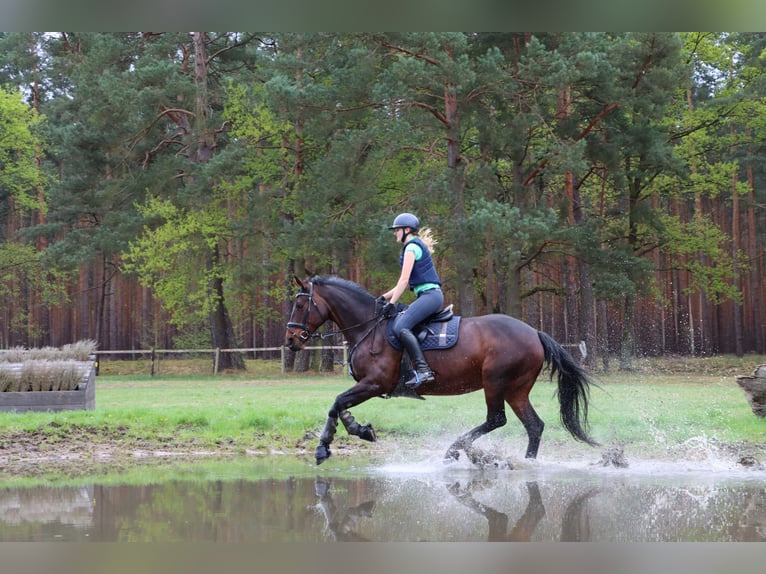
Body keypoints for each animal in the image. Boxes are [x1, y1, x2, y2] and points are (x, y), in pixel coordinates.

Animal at [284, 275, 598, 465]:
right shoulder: (368, 386)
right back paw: (526, 463)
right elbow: (339, 405)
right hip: (516, 390)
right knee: (534, 425)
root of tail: (534, 332)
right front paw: (355, 430)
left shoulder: (375, 384)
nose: (290, 340)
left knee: (496, 419)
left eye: (300, 304)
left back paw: (456, 449)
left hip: (496, 383)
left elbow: (336, 402)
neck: (368, 327)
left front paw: (328, 445)